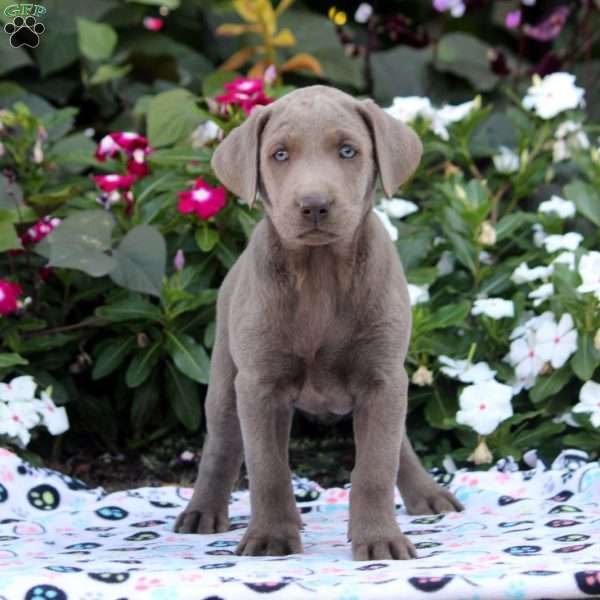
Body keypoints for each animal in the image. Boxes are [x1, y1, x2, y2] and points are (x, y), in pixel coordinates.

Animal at [173, 83, 464, 556]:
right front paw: (271, 537)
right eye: (279, 154)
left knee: (396, 443)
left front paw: (379, 539)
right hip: (225, 378)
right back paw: (203, 511)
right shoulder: (259, 384)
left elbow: (376, 465)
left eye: (348, 150)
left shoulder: (382, 378)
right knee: (222, 444)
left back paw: (426, 493)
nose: (313, 205)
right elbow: (268, 469)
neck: (319, 274)